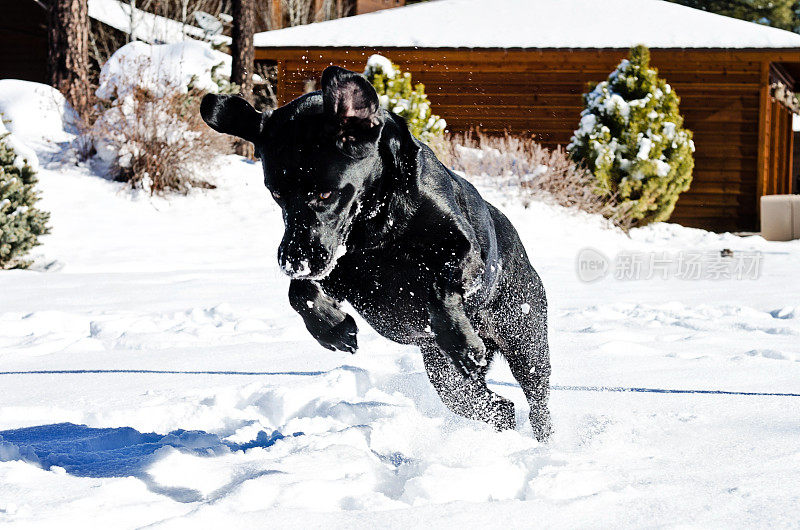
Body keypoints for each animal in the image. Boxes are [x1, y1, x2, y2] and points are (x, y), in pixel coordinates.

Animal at [202, 65, 552, 438]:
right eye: (276, 193)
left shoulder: (465, 252)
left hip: (525, 343)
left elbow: (439, 290)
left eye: (325, 194)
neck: (378, 226)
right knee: (498, 407)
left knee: (537, 404)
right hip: (446, 379)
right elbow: (299, 293)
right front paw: (334, 329)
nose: (293, 261)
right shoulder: (347, 275)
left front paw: (461, 341)